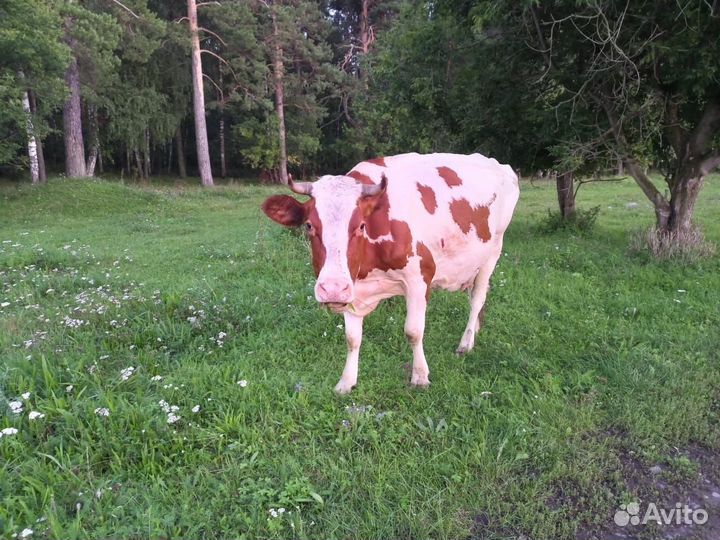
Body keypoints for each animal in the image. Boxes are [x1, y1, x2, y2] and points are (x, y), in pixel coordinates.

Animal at [261, 153, 520, 393]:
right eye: (309, 226)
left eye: (361, 226)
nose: (332, 289)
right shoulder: (353, 288)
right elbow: (352, 339)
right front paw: (346, 381)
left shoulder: (419, 279)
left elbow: (413, 332)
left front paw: (420, 376)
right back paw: (474, 331)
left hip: (492, 253)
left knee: (477, 299)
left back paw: (466, 343)